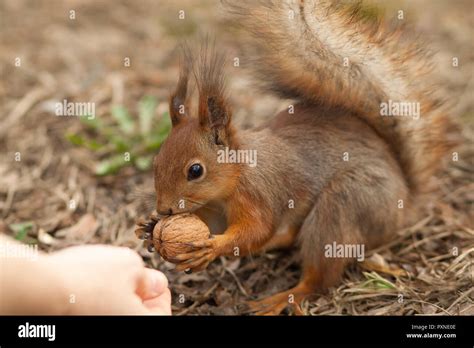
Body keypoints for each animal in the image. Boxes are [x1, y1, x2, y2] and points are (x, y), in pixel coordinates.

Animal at [135, 0, 454, 316]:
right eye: (156, 162)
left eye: (195, 170)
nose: (163, 210)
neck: (238, 174)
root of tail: (405, 201)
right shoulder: (214, 207)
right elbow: (212, 226)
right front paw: (148, 228)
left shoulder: (260, 194)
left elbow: (255, 230)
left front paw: (214, 248)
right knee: (290, 238)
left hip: (348, 202)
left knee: (321, 276)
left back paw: (284, 297)